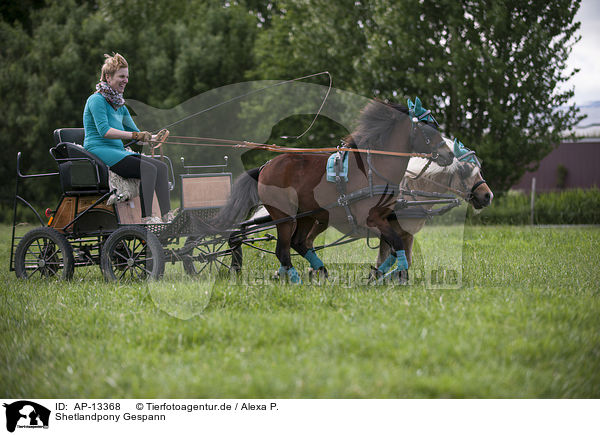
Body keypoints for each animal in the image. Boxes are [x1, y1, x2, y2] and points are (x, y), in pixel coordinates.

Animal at [211, 99, 450, 282]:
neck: (373, 168)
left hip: (306, 215)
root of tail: (264, 167)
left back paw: (321, 273)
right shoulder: (372, 220)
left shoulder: (385, 219)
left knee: (298, 243)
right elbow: (397, 244)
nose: (448, 154)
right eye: (428, 128)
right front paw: (393, 275)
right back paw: (297, 280)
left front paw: (379, 275)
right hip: (284, 216)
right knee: (283, 250)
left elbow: (393, 248)